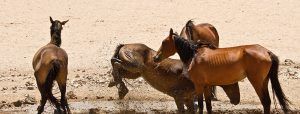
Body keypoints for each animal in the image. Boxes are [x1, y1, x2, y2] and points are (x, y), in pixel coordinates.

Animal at [108, 43, 239, 113]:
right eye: (233, 82)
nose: (237, 101)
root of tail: (125, 45)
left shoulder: (188, 99)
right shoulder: (178, 96)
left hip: (135, 73)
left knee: (117, 67)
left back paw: (118, 87)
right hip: (135, 67)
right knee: (115, 62)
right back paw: (120, 88)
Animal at [154, 28, 290, 113]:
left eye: (164, 42)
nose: (156, 57)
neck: (194, 55)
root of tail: (266, 51)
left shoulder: (199, 85)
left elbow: (201, 105)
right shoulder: (207, 86)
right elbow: (208, 106)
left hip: (256, 82)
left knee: (265, 102)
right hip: (264, 82)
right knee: (267, 103)